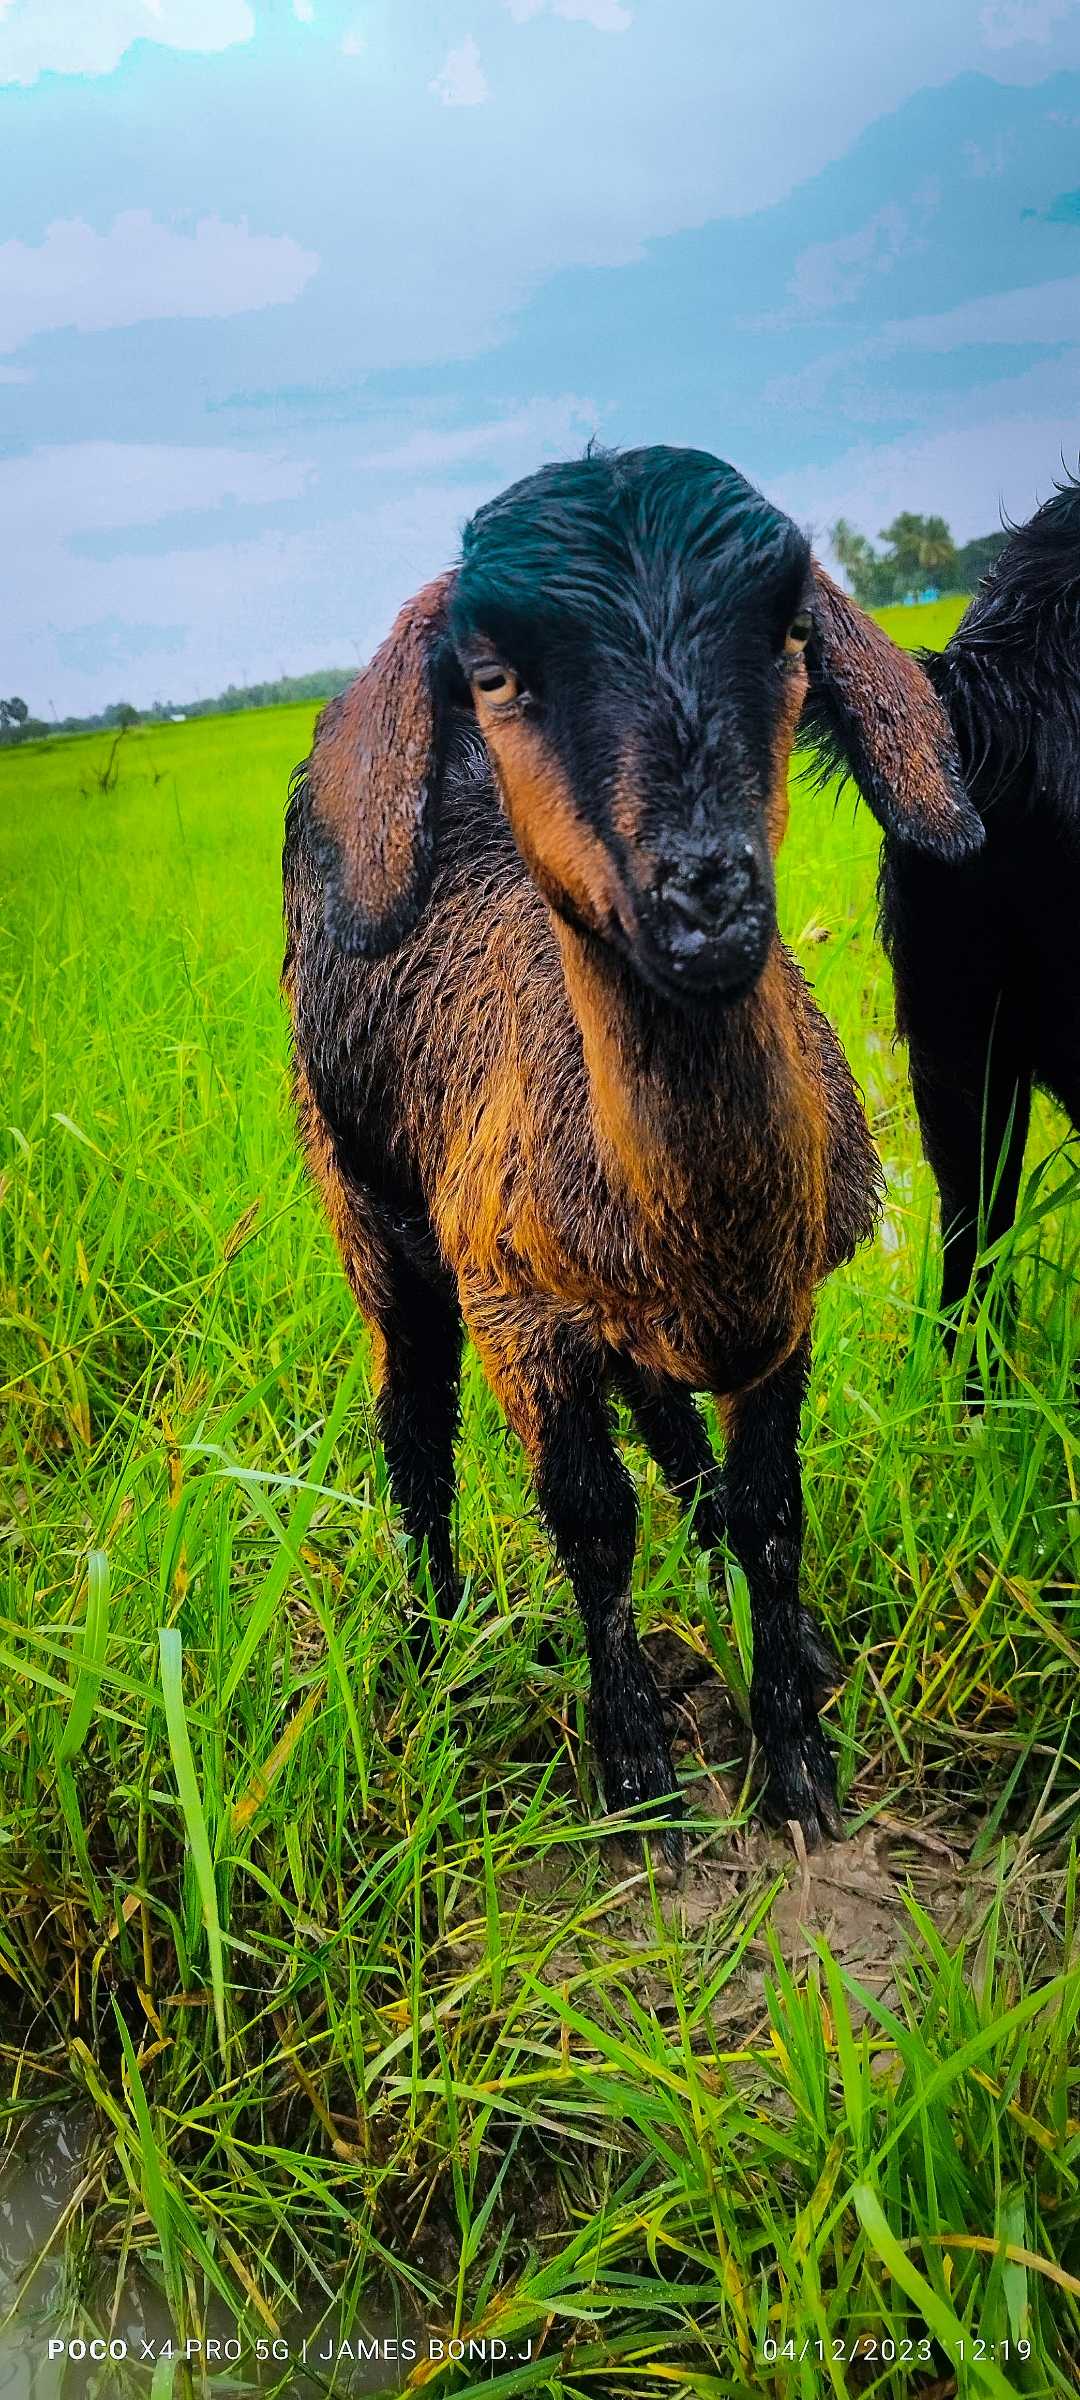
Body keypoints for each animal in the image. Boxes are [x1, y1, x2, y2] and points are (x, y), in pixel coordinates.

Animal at [282, 446, 978, 1854]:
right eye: (496, 675)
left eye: (787, 635)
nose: (707, 897)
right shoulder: (516, 1308)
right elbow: (592, 1524)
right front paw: (642, 1781)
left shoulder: (782, 1307)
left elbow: (770, 1514)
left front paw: (797, 1759)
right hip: (369, 1212)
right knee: (412, 1422)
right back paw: (432, 1644)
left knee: (658, 1412)